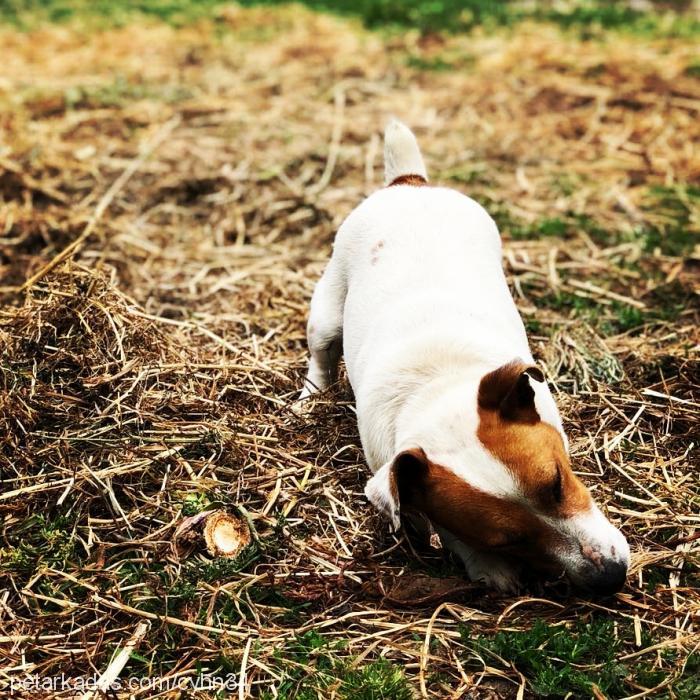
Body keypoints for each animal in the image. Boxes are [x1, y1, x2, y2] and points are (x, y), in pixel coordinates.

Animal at [296, 121, 628, 596]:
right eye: (505, 539)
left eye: (557, 482)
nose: (611, 577)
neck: (438, 382)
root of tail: (408, 184)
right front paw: (487, 564)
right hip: (325, 313)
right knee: (321, 358)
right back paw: (310, 399)